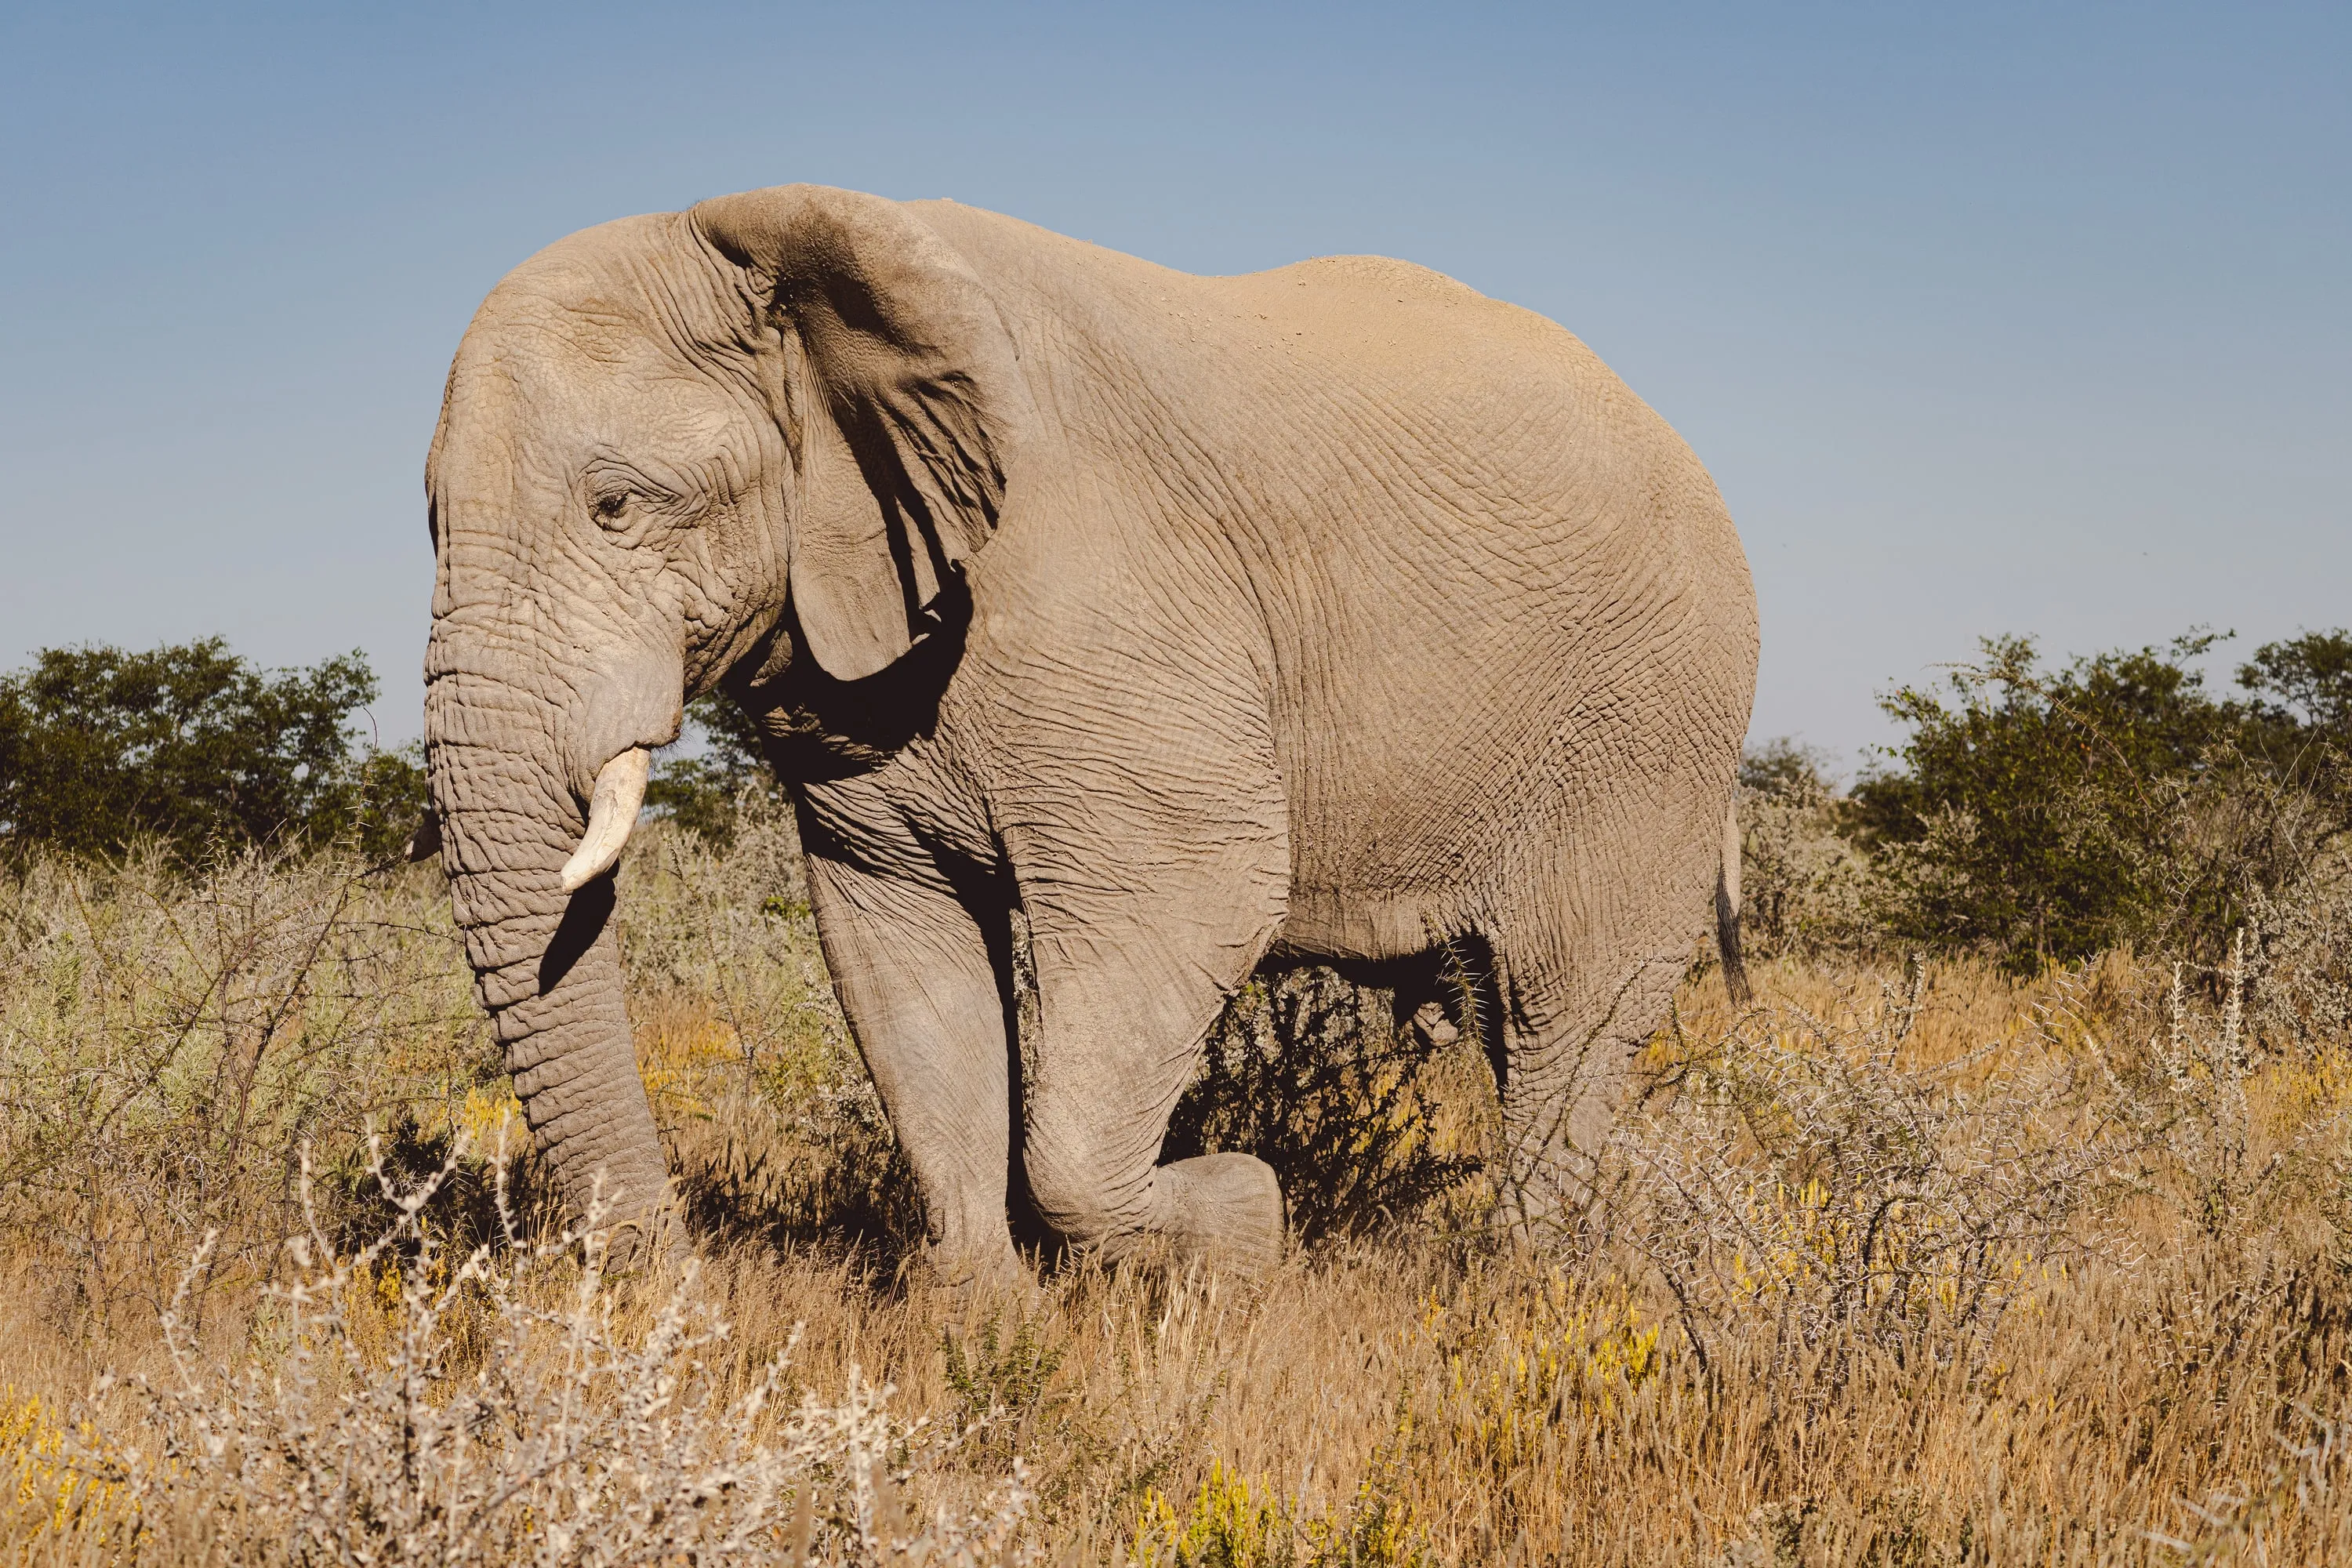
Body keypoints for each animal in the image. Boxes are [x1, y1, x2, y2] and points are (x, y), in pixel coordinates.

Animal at [419, 182, 1757, 1280]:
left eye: (616, 505)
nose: (678, 1282)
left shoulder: (1101, 599)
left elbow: (1195, 901)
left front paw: (1245, 1220)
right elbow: (899, 954)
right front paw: (985, 1321)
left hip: (1651, 724)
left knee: (1564, 1012)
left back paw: (1522, 1293)